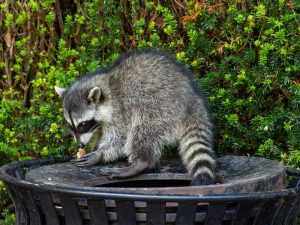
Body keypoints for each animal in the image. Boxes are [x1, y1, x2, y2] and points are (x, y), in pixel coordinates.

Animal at [55, 49, 216, 185]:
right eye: (71, 125)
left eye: (82, 124)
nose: (80, 145)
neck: (106, 86)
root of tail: (193, 102)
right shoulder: (101, 123)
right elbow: (100, 135)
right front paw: (94, 148)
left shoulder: (120, 110)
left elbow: (119, 138)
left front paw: (99, 153)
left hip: (163, 107)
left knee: (143, 130)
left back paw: (140, 162)